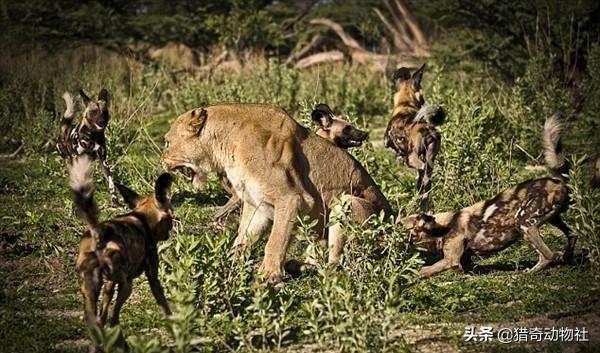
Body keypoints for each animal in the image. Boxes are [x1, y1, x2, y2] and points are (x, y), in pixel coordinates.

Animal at [70, 157, 175, 328]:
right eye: (170, 218)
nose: (169, 232)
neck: (142, 217)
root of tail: (99, 234)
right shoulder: (152, 276)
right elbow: (164, 305)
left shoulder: (109, 285)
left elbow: (103, 314)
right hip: (126, 284)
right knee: (114, 317)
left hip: (92, 288)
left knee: (96, 319)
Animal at [384, 63, 446, 210]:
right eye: (422, 98)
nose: (423, 103)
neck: (405, 103)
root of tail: (427, 130)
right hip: (429, 158)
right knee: (426, 180)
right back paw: (424, 203)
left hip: (412, 159)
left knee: (424, 172)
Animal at [400, 114, 576, 276]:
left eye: (403, 227)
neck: (443, 226)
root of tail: (558, 181)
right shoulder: (462, 261)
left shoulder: (451, 260)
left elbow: (422, 270)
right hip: (553, 219)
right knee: (572, 235)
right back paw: (566, 257)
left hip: (524, 224)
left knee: (548, 255)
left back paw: (527, 273)